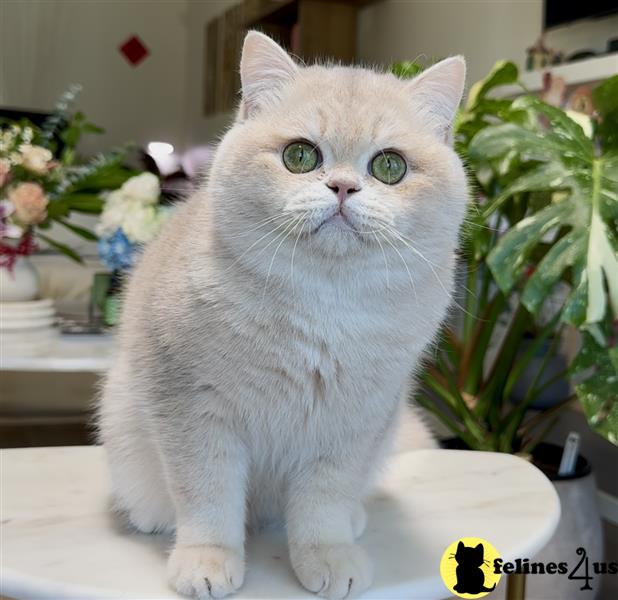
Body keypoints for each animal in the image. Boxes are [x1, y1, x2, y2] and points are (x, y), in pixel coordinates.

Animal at [96, 31, 464, 600]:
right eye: (299, 156)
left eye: (389, 167)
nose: (342, 187)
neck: (324, 305)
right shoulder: (194, 413)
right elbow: (207, 497)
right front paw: (206, 561)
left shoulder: (353, 426)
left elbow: (324, 505)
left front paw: (328, 556)